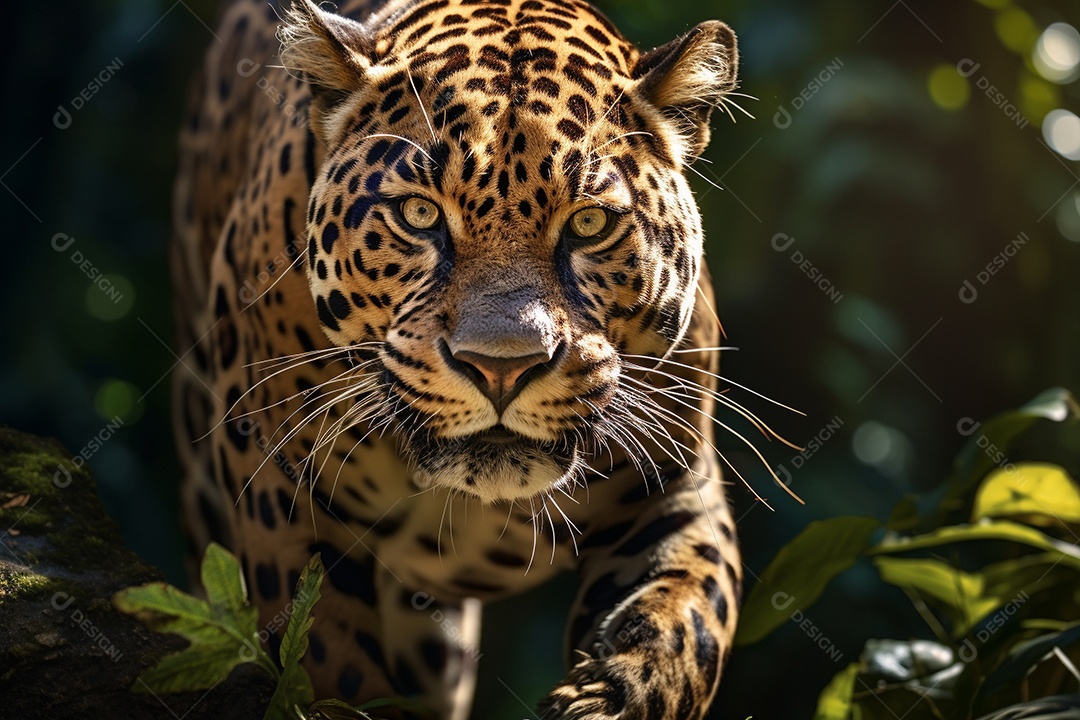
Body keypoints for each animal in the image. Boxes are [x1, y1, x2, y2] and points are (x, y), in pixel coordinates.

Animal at [171, 0, 745, 717]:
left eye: (589, 225)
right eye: (419, 215)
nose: (502, 366)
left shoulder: (674, 489)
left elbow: (686, 616)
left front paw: (607, 695)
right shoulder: (283, 494)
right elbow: (325, 659)